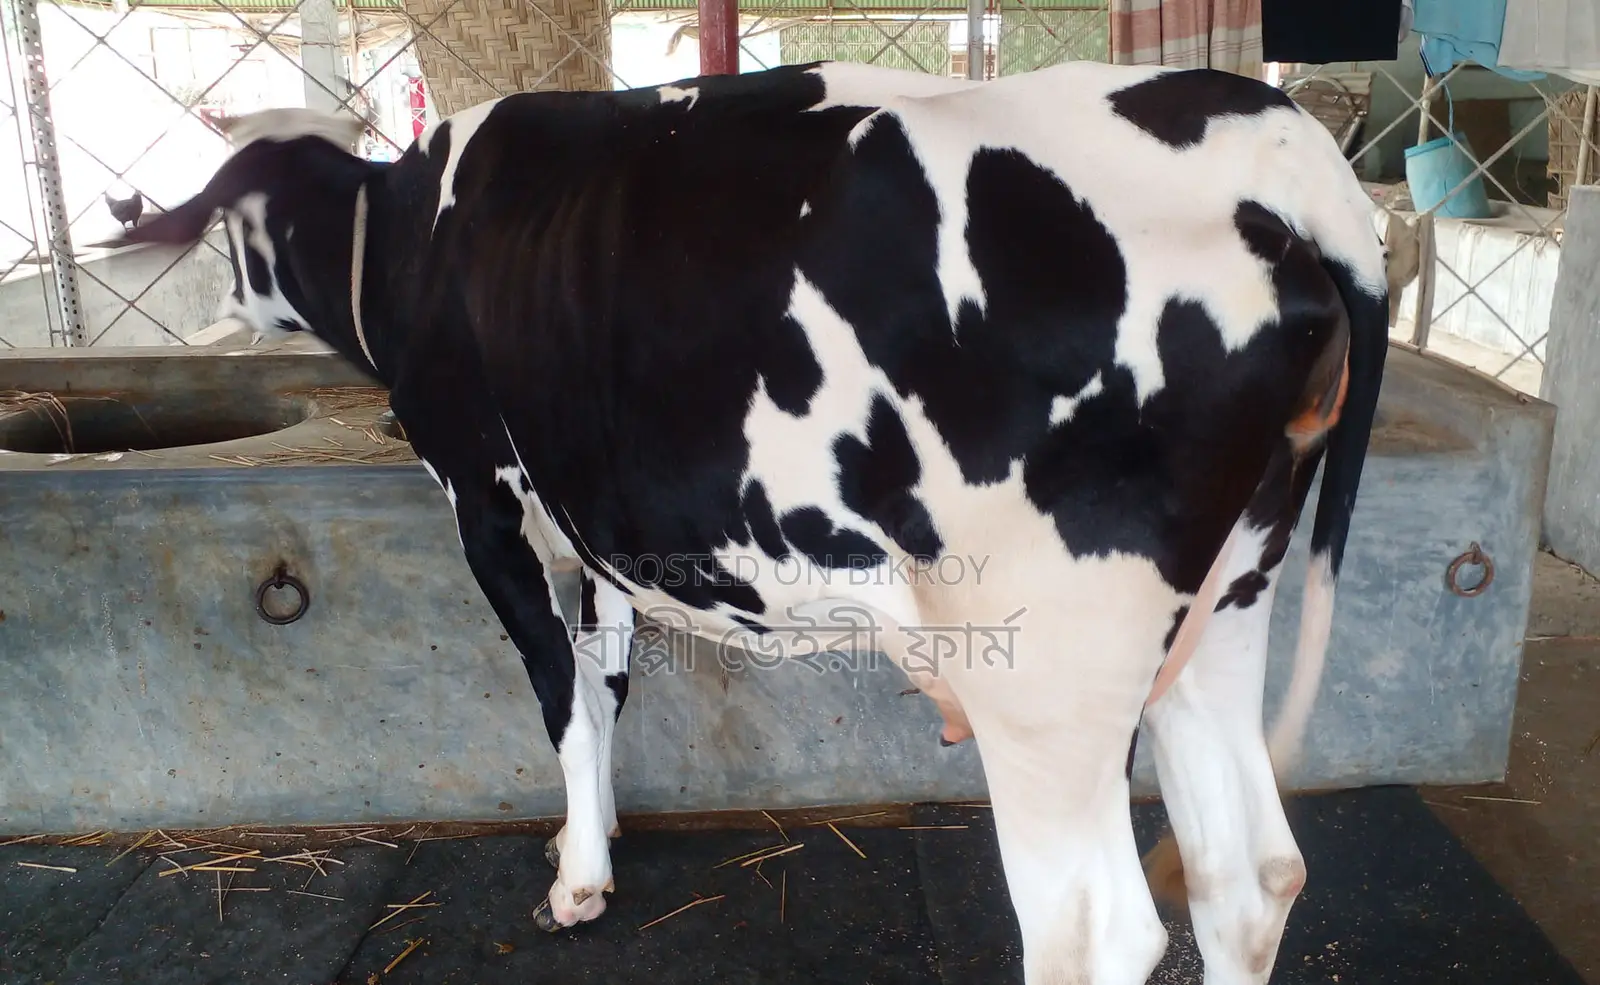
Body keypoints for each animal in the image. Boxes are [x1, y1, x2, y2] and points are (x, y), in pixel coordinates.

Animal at [104, 59, 1389, 985]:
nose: (216, 308)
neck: (409, 238)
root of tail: (1270, 141)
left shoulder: (487, 499)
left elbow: (557, 691)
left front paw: (575, 880)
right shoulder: (601, 522)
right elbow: (607, 680)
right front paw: (596, 838)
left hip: (1049, 667)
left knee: (1094, 930)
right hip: (1224, 604)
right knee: (1246, 876)